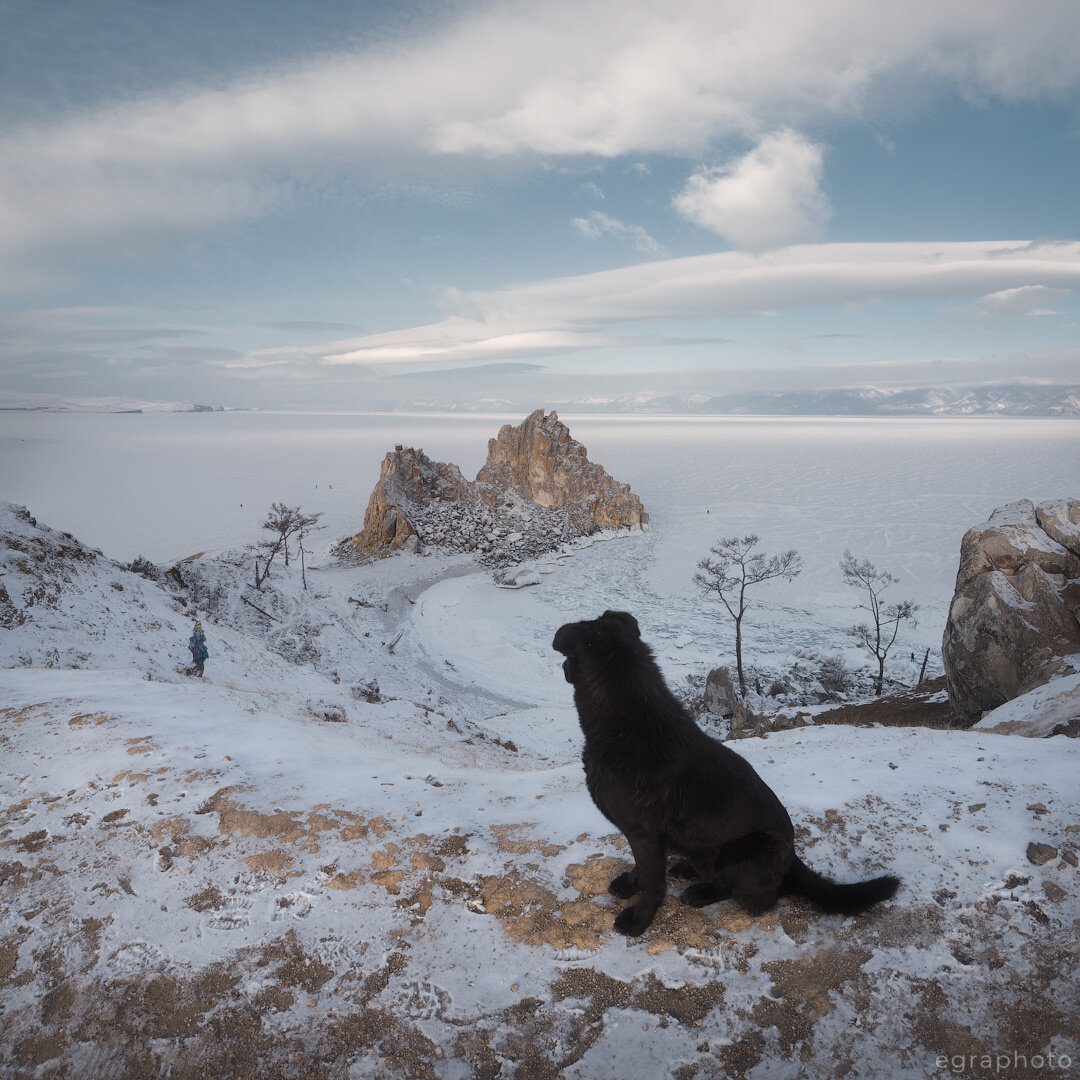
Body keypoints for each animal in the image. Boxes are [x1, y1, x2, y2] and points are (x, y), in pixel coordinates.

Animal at [552, 609, 898, 937]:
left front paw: (639, 920)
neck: (629, 721)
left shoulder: (644, 833)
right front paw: (629, 884)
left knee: (752, 895)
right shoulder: (644, 837)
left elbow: (652, 883)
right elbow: (641, 868)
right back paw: (688, 869)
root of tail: (793, 858)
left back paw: (703, 892)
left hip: (760, 848)